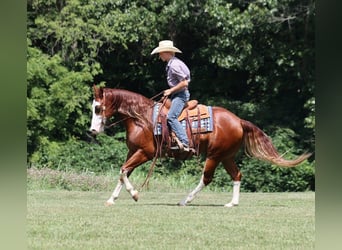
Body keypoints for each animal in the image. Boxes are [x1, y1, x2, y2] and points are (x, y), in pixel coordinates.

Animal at [89, 86, 312, 207]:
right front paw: (112, 199)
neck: (141, 118)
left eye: (98, 108)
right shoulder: (133, 151)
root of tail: (238, 120)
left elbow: (124, 170)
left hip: (214, 155)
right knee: (237, 175)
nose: (92, 131)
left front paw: (134, 194)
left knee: (206, 178)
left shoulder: (146, 152)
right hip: (226, 156)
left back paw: (185, 200)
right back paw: (232, 203)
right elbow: (123, 172)